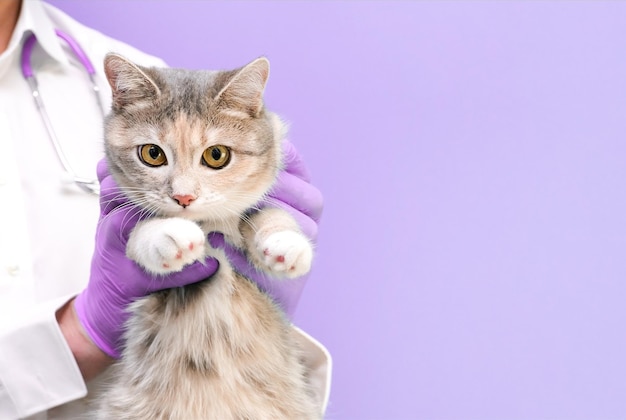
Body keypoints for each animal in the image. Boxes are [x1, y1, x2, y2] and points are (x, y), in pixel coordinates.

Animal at [94, 53, 322, 420]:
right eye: (152, 154)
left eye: (216, 155)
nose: (184, 197)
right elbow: (140, 227)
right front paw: (167, 234)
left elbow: (268, 212)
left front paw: (285, 242)